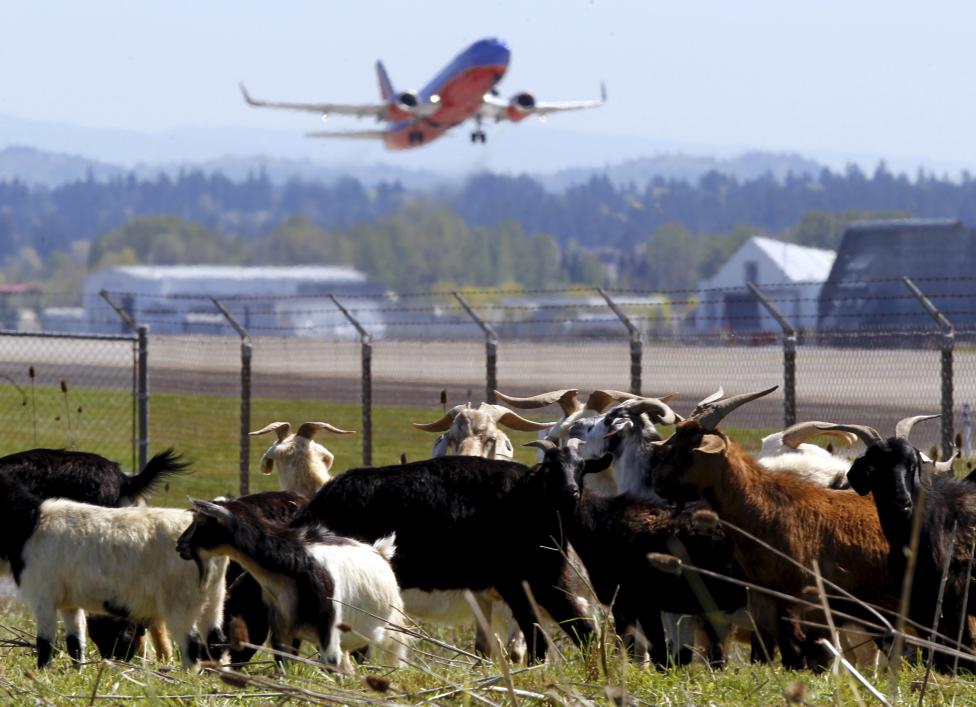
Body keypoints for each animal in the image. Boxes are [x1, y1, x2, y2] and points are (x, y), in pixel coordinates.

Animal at [179, 496, 404, 672]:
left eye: (202, 522)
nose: (180, 545)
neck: (293, 561)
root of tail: (380, 551)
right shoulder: (282, 622)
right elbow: (283, 661)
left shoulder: (328, 623)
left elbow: (329, 663)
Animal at [528, 440, 744, 668]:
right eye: (549, 468)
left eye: (581, 466)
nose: (571, 491)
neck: (598, 520)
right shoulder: (640, 603)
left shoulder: (630, 599)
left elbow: (642, 648)